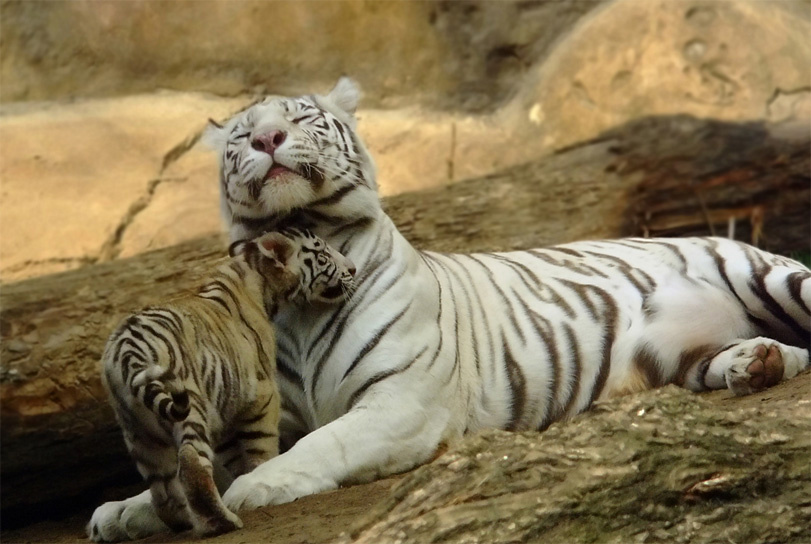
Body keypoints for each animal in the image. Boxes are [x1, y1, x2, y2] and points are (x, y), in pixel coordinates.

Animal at [93, 229, 355, 540]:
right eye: (324, 255)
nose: (353, 269)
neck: (249, 272)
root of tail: (128, 351)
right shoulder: (263, 395)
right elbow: (261, 449)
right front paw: (261, 473)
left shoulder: (227, 410)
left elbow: (234, 459)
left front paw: (244, 480)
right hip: (188, 407)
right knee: (191, 462)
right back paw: (222, 522)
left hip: (139, 434)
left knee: (162, 487)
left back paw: (184, 521)